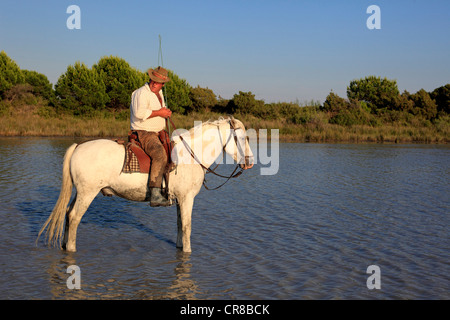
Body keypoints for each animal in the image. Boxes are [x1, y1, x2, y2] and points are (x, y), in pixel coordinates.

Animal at [38, 117, 253, 252]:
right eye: (243, 138)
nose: (250, 162)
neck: (190, 155)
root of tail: (78, 146)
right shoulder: (187, 199)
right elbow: (187, 227)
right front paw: (188, 252)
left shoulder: (179, 200)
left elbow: (179, 225)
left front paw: (179, 247)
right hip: (87, 193)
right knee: (74, 217)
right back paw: (72, 248)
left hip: (80, 192)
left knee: (67, 214)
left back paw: (65, 244)